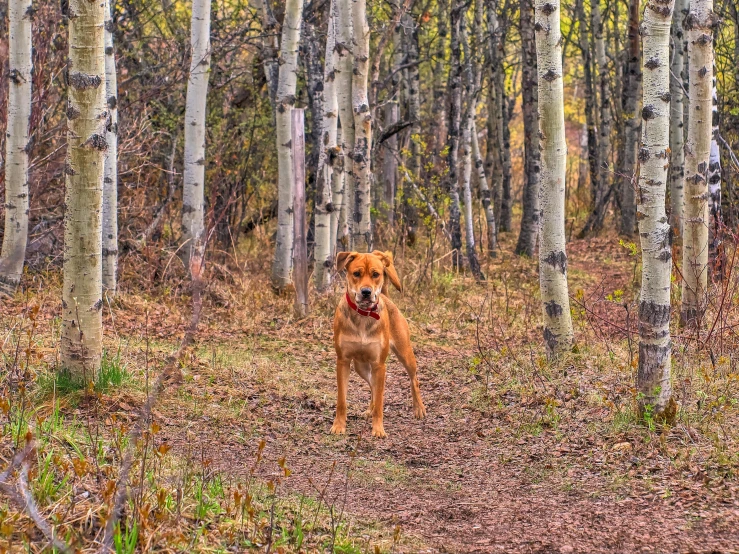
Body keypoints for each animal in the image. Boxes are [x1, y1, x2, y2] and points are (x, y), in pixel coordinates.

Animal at [330, 250, 428, 436]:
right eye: (356, 274)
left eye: (375, 274)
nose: (366, 292)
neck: (363, 315)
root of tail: (385, 297)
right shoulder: (343, 361)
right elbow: (341, 399)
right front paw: (338, 425)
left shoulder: (379, 364)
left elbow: (381, 401)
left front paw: (378, 430)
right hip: (361, 366)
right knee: (372, 388)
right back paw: (369, 409)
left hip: (405, 353)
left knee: (414, 379)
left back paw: (419, 408)